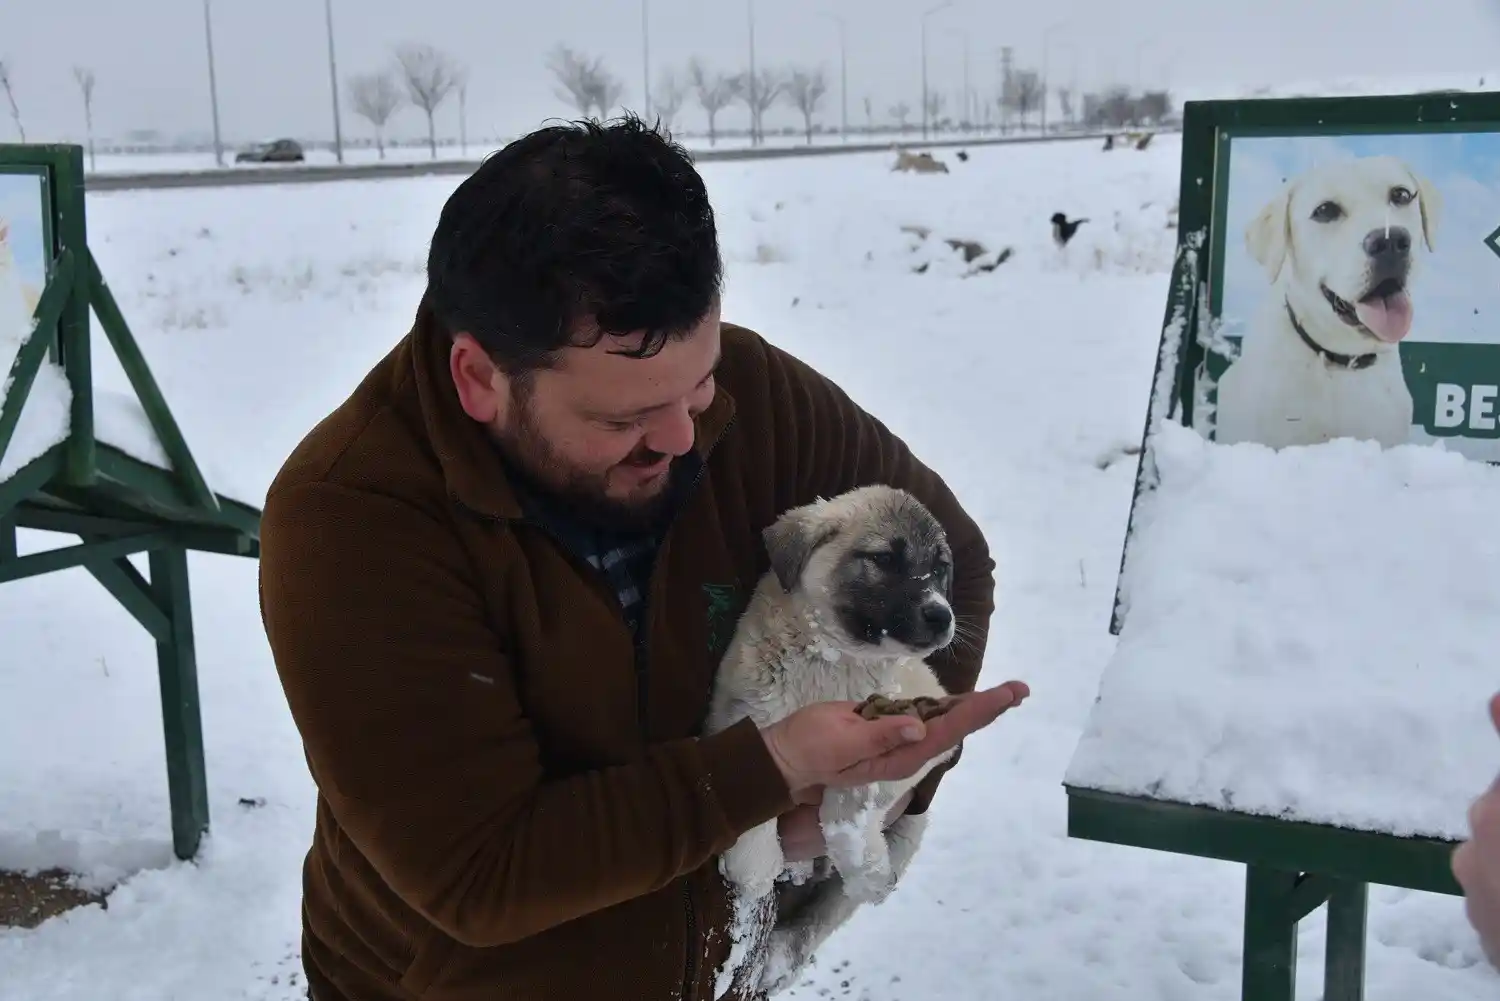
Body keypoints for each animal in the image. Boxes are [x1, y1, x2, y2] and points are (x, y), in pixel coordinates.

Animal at [705, 483, 960, 996]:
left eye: (941, 567)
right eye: (883, 558)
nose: (942, 617)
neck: (833, 662)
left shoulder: (924, 731)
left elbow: (853, 801)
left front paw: (862, 857)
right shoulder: (737, 712)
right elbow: (749, 787)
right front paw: (756, 867)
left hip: (910, 831)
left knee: (828, 911)